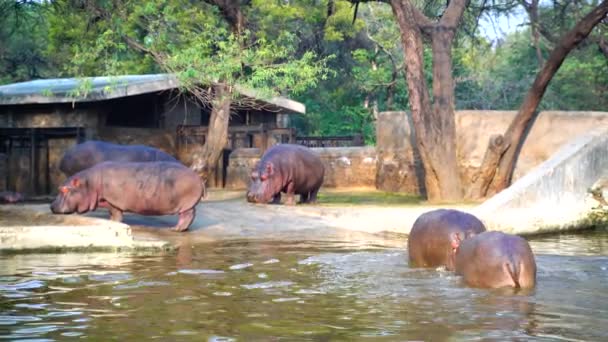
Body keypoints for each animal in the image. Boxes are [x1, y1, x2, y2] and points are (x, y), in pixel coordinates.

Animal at [50, 161, 202, 232]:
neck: (89, 183)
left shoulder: (113, 201)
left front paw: (114, 222)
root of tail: (198, 177)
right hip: (188, 204)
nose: (51, 206)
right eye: (59, 187)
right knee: (190, 215)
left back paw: (176, 229)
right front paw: (111, 221)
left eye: (64, 189)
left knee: (187, 215)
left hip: (186, 204)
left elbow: (116, 214)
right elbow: (113, 214)